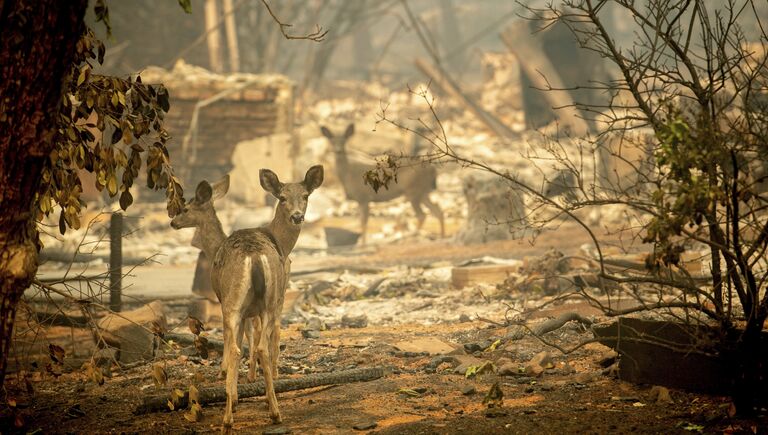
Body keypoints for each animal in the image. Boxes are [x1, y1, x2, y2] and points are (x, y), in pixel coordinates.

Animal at [170, 165, 322, 430]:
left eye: (185, 208)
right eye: (282, 197)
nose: (173, 221)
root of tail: (255, 255)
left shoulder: (226, 302)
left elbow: (235, 337)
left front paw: (228, 377)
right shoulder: (255, 309)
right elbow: (255, 336)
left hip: (236, 301)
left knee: (238, 346)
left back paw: (231, 415)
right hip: (269, 300)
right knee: (265, 341)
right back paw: (272, 407)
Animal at [320, 123, 448, 245]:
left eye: (344, 141)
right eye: (332, 141)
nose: (338, 150)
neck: (347, 175)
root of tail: (432, 169)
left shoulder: (364, 197)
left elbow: (363, 221)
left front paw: (363, 244)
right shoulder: (361, 199)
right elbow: (361, 221)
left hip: (413, 190)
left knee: (422, 215)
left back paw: (412, 238)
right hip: (423, 191)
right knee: (438, 211)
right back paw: (441, 238)